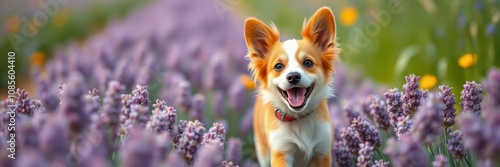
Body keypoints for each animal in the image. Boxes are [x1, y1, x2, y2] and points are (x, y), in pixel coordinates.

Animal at [243, 6, 340, 167]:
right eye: (278, 66)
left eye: (308, 62)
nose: (293, 76)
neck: (298, 118)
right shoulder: (281, 152)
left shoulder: (322, 152)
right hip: (262, 151)